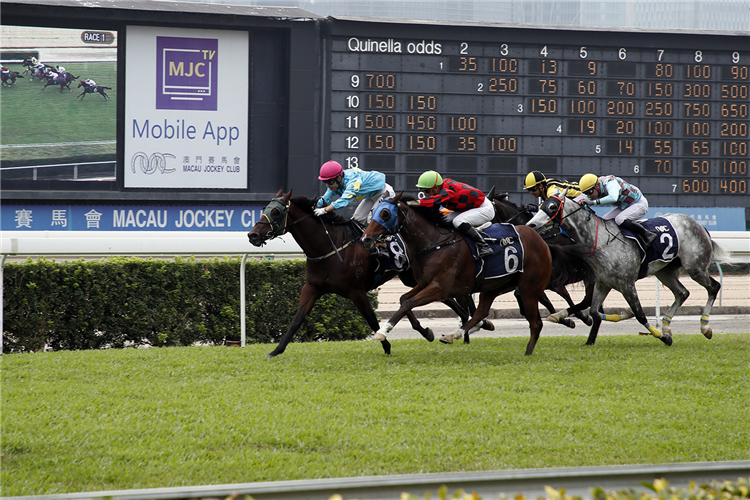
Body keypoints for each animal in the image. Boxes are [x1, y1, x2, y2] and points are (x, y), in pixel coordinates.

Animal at [250, 189, 490, 358]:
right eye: (264, 208)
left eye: (276, 212)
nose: (253, 235)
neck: (330, 247)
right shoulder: (312, 287)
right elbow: (297, 319)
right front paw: (276, 350)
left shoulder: (356, 291)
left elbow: (372, 321)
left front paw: (386, 345)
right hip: (411, 277)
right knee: (440, 298)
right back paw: (438, 329)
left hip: (415, 276)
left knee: (445, 298)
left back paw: (472, 324)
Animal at [362, 192, 596, 356]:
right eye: (373, 212)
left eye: (385, 213)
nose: (365, 238)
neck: (434, 243)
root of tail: (544, 243)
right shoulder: (425, 283)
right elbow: (404, 300)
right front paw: (425, 331)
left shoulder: (439, 288)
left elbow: (408, 303)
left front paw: (382, 331)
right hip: (493, 286)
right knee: (482, 311)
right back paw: (454, 334)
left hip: (529, 287)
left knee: (536, 322)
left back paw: (529, 352)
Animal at [524, 188, 732, 348]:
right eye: (541, 206)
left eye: (552, 207)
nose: (530, 225)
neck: (600, 241)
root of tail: (699, 225)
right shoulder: (603, 284)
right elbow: (594, 311)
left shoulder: (627, 284)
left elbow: (639, 315)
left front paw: (663, 337)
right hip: (665, 272)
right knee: (682, 293)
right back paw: (667, 325)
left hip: (695, 267)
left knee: (713, 287)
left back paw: (704, 328)